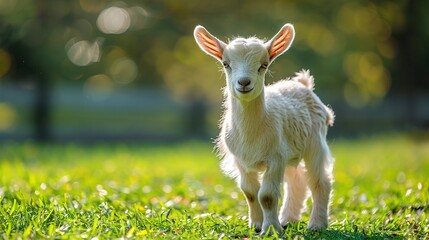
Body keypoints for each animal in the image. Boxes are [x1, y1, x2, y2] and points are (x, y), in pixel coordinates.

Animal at [194, 23, 334, 235]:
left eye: (264, 65)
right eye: (226, 64)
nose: (244, 82)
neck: (252, 134)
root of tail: (303, 84)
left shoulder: (275, 159)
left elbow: (267, 196)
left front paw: (270, 230)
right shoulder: (241, 160)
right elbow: (250, 193)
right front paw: (256, 225)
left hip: (315, 143)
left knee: (319, 182)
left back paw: (316, 225)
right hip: (290, 152)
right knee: (297, 180)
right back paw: (288, 220)